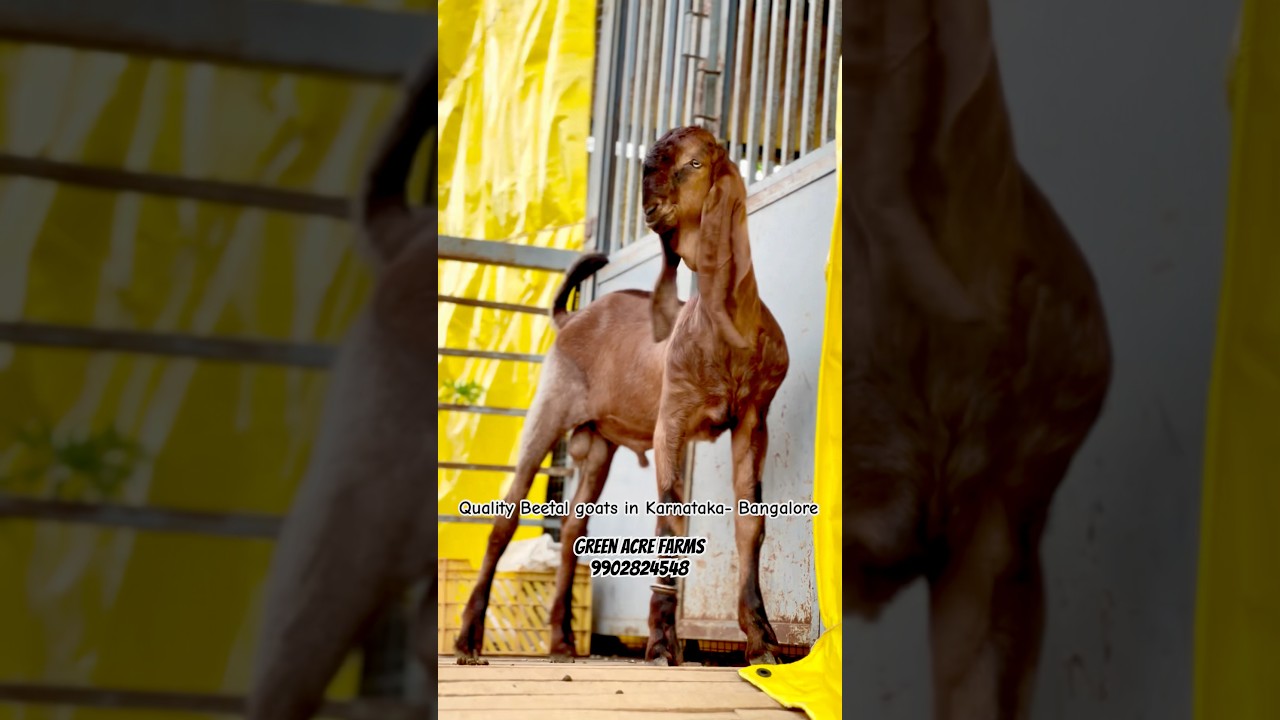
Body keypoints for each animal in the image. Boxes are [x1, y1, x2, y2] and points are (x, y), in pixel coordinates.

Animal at [640, 125, 790, 667]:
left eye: (695, 162)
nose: (650, 204)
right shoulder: (670, 423)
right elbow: (670, 521)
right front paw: (662, 642)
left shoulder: (753, 419)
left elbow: (751, 523)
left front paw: (761, 639)